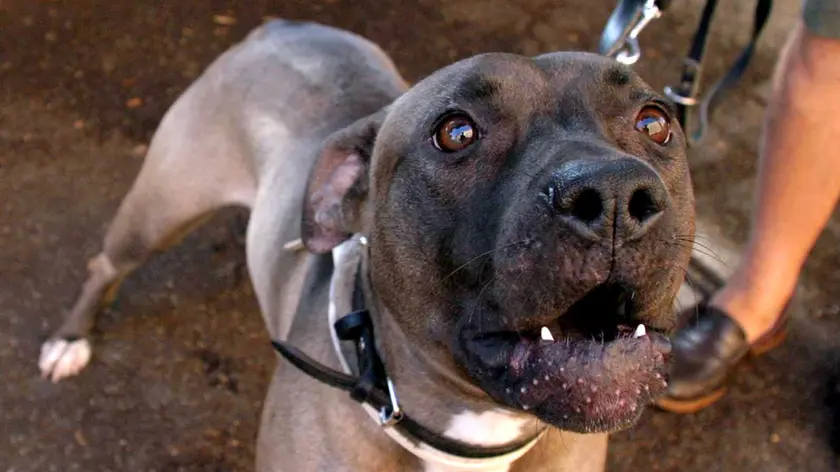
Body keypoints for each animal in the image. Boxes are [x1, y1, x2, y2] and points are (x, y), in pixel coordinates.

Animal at [37, 19, 696, 472]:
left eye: (655, 122)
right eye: (456, 133)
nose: (613, 194)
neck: (473, 439)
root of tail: (282, 26)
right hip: (159, 207)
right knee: (106, 264)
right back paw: (70, 340)